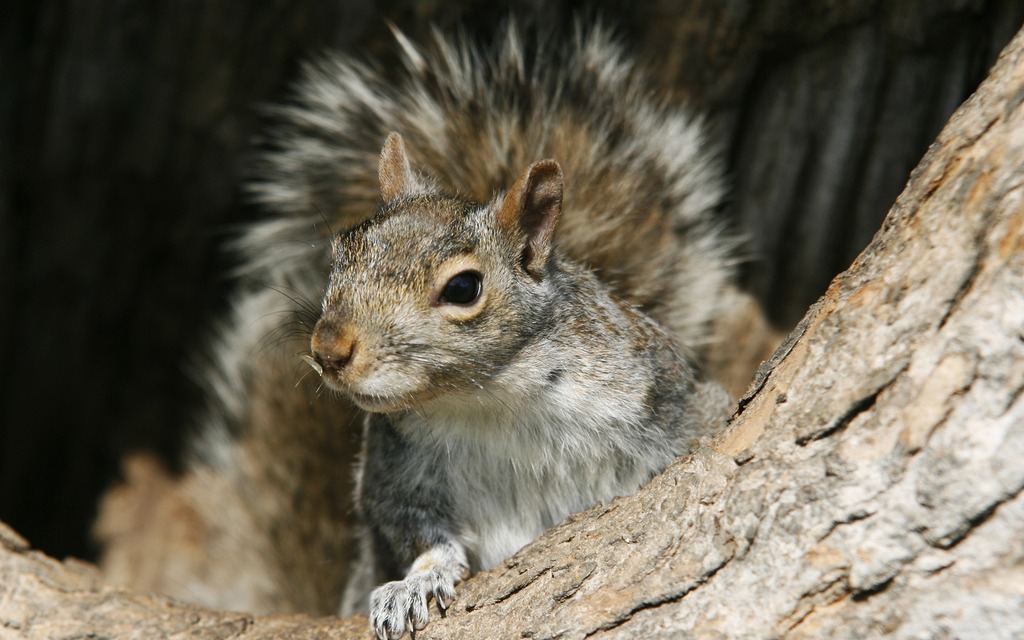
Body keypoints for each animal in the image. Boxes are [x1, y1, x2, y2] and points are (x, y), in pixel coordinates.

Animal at [99, 17, 778, 634]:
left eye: (463, 288)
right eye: (341, 252)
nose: (329, 348)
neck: (491, 399)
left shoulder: (663, 395)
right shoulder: (396, 475)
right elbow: (420, 534)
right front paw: (416, 583)